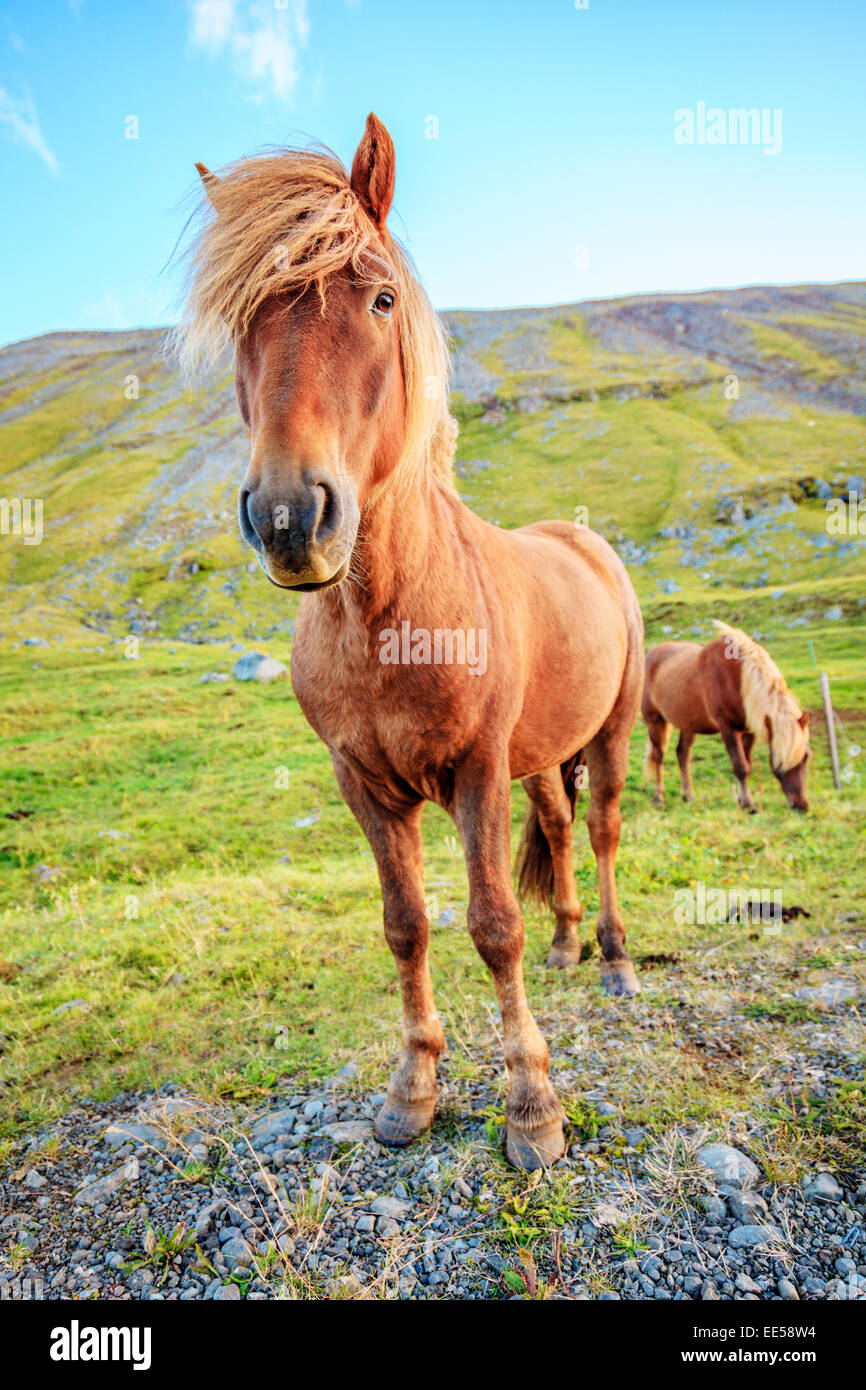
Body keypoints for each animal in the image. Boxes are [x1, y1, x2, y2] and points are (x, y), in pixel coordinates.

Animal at [176, 113, 647, 1167]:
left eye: (381, 297)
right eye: (242, 320)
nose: (288, 518)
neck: (387, 623)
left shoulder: (475, 771)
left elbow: (492, 924)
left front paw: (531, 1106)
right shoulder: (364, 784)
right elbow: (405, 926)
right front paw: (413, 1087)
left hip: (610, 732)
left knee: (599, 832)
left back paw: (612, 958)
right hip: (539, 757)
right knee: (561, 831)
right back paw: (569, 944)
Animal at [644, 622, 811, 811]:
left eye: (806, 758)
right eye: (779, 761)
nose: (801, 806)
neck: (739, 680)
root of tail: (651, 653)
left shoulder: (749, 731)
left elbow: (747, 764)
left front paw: (742, 800)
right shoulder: (728, 729)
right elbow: (741, 767)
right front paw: (749, 804)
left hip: (689, 725)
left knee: (683, 754)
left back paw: (688, 795)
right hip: (655, 721)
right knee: (658, 756)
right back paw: (658, 797)